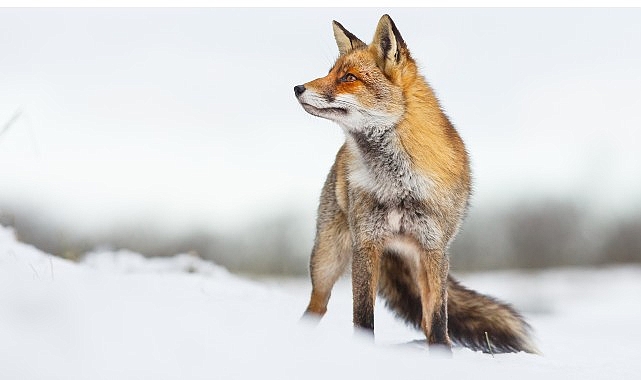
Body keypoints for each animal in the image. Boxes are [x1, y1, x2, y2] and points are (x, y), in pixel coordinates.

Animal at [298, 14, 536, 354]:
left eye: (348, 78)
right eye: (331, 73)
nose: (297, 88)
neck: (399, 184)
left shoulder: (434, 248)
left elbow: (437, 320)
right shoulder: (366, 243)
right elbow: (363, 317)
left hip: (416, 261)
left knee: (426, 321)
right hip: (326, 260)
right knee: (316, 306)